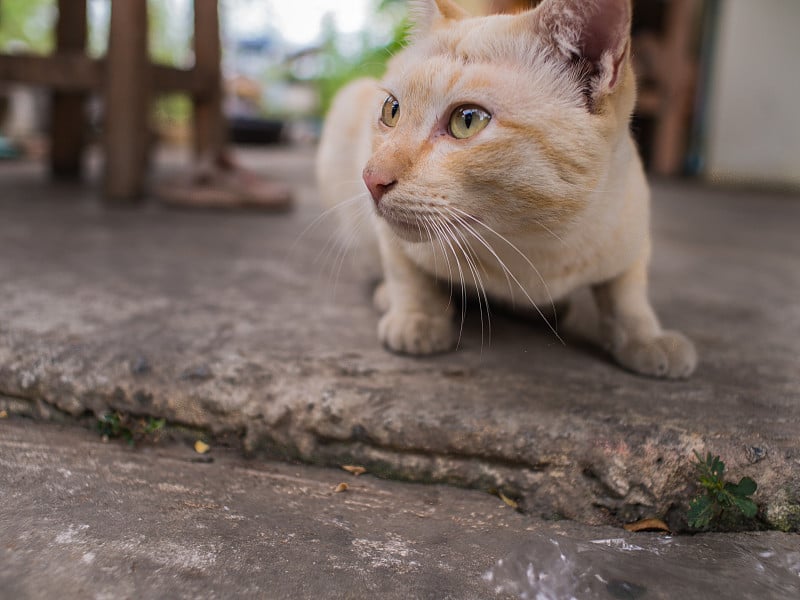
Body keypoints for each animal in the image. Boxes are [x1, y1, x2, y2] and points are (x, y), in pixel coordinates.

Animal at [316, 0, 696, 380]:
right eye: (391, 110)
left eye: (467, 120)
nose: (371, 179)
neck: (535, 243)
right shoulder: (390, 234)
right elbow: (407, 272)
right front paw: (418, 319)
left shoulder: (633, 230)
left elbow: (627, 293)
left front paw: (647, 338)